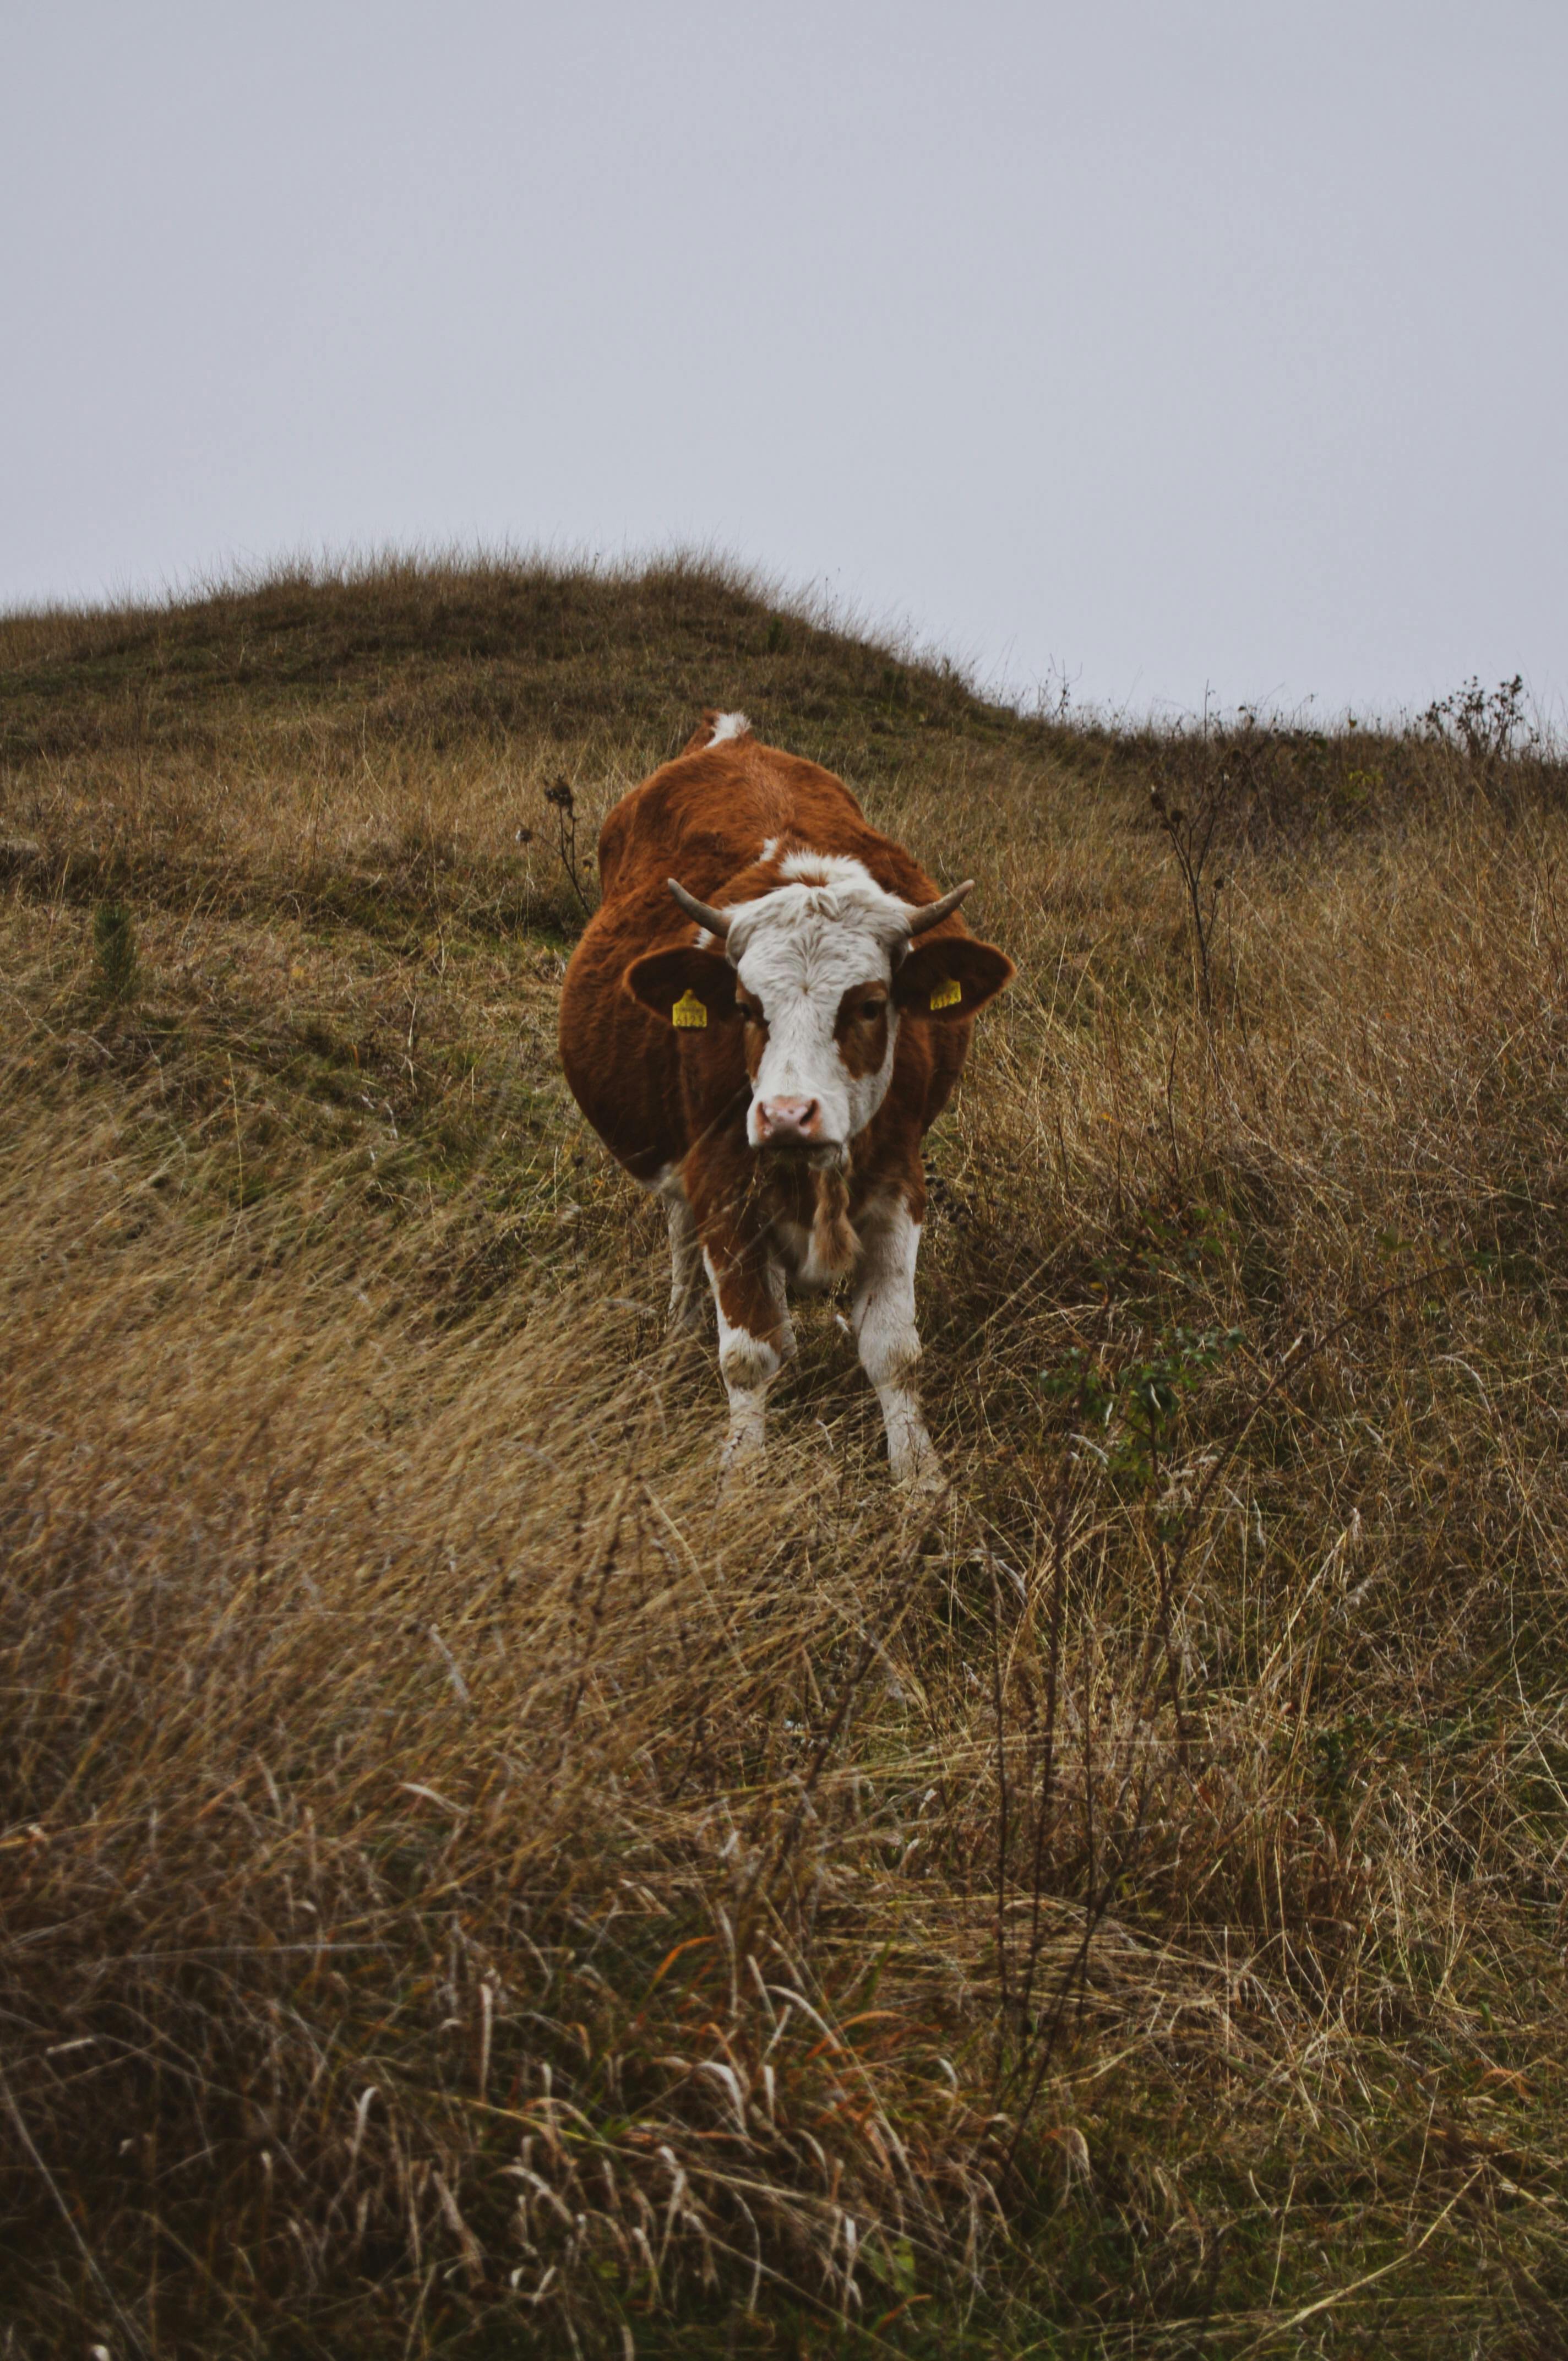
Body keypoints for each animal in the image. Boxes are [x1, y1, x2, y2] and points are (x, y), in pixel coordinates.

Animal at [554, 708, 1015, 1482]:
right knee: (681, 1234)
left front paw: (922, 1481)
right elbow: (748, 1354)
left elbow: (894, 1352)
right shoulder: (720, 1181)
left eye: (870, 1004)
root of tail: (731, 735)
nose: (787, 1116)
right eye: (745, 1007)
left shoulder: (899, 1181)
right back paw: (683, 1322)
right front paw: (741, 1476)